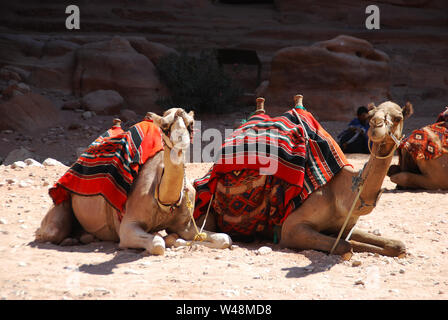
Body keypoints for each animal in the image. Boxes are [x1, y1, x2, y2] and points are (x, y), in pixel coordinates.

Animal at [35, 110, 233, 255]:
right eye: (165, 126)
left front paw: (177, 239)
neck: (164, 201)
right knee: (48, 232)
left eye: (190, 124)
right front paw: (168, 239)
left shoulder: (187, 225)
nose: (181, 142)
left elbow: (225, 239)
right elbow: (158, 243)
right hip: (62, 204)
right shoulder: (127, 226)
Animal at [194, 94, 412, 258]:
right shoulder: (291, 229)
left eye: (398, 117)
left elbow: (397, 245)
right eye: (371, 115)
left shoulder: (343, 227)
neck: (342, 194)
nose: (376, 125)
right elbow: (345, 246)